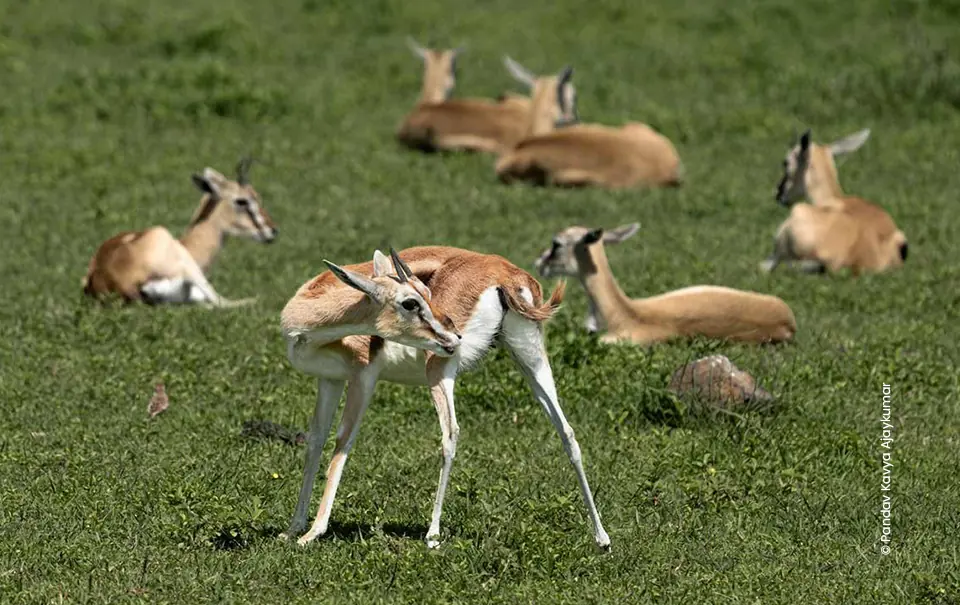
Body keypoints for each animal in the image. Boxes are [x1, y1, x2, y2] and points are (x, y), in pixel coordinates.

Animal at [279, 247, 610, 550]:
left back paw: (433, 534)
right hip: (530, 357)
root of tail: (505, 274)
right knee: (566, 431)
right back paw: (602, 538)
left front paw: (313, 532)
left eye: (427, 293)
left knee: (450, 434)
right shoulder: (330, 379)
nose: (453, 334)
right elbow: (316, 440)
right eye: (411, 301)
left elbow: (342, 442)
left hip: (440, 365)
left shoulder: (363, 376)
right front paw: (294, 528)